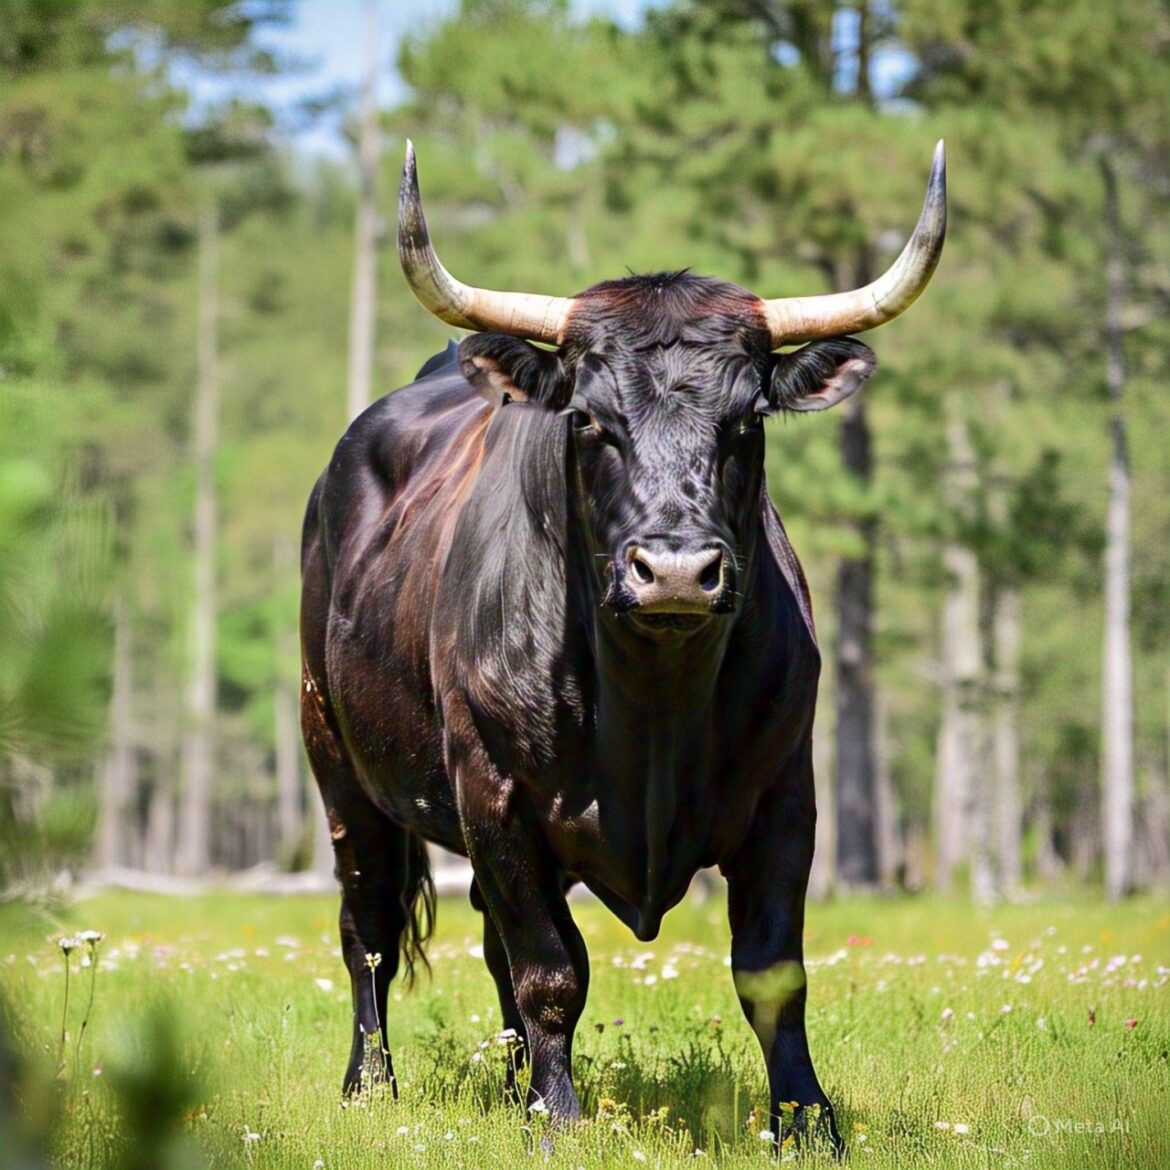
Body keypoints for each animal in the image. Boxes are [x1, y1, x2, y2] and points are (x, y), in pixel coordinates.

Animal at [300, 140, 946, 1150]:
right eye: (588, 420)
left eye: (748, 421)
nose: (675, 571)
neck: (653, 706)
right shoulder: (495, 792)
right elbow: (550, 971)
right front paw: (559, 1118)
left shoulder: (786, 796)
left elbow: (773, 973)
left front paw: (807, 1119)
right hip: (338, 765)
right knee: (367, 926)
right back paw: (372, 1084)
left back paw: (513, 1080)